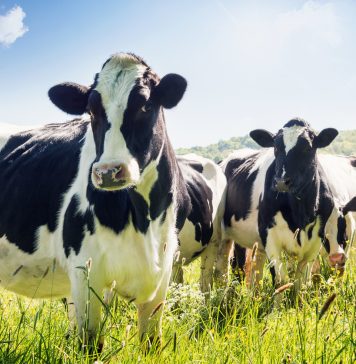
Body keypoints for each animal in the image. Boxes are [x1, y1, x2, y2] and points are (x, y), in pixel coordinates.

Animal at [0, 52, 191, 352]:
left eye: (146, 104)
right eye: (91, 111)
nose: (109, 171)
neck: (143, 218)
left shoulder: (163, 270)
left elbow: (151, 342)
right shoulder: (84, 271)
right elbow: (89, 344)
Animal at [218, 118, 354, 294]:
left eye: (307, 148)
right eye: (276, 147)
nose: (281, 181)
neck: (300, 212)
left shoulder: (315, 242)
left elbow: (300, 282)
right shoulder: (269, 236)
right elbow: (281, 280)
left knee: (254, 269)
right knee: (229, 268)